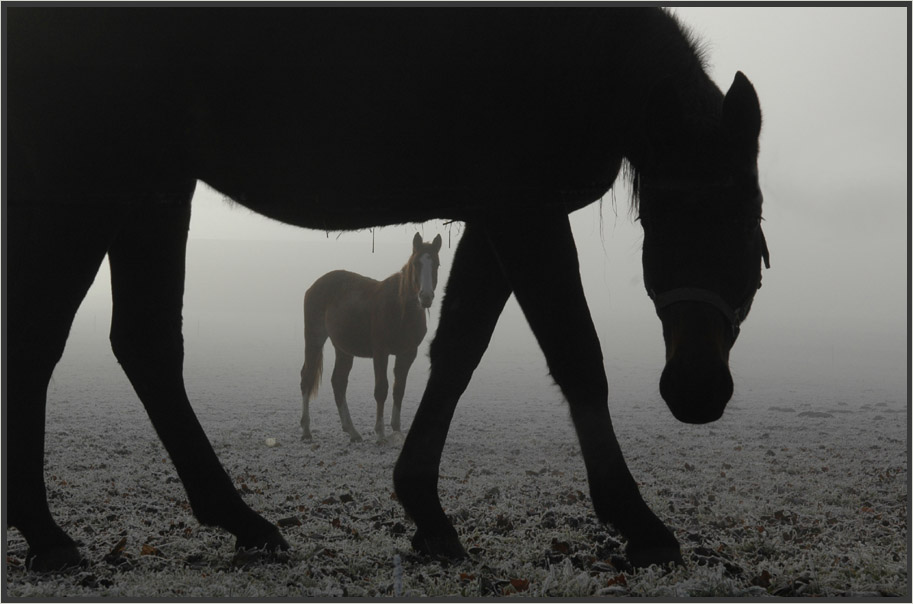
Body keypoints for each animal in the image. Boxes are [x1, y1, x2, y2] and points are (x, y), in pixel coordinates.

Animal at [300, 234, 442, 442]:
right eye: (416, 263)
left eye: (437, 264)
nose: (425, 297)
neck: (400, 310)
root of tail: (314, 286)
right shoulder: (380, 352)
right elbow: (381, 390)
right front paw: (380, 433)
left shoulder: (408, 353)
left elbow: (399, 389)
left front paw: (396, 429)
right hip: (315, 338)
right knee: (307, 377)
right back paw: (306, 430)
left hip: (343, 348)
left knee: (339, 382)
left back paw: (352, 431)